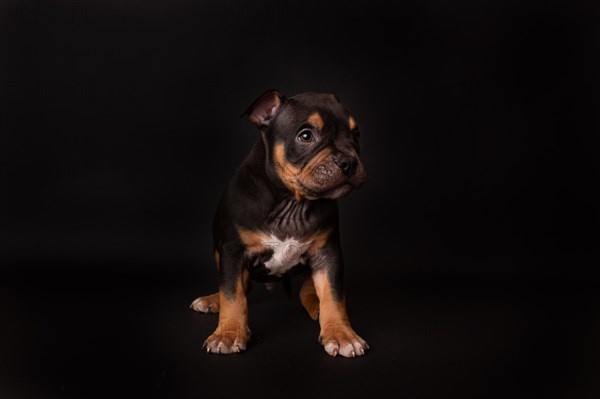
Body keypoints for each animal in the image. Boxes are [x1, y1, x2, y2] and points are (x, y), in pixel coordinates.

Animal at [192, 90, 368, 360]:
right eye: (305, 136)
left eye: (355, 134)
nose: (349, 162)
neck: (291, 202)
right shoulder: (232, 251)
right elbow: (232, 294)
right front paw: (229, 333)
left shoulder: (328, 253)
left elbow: (333, 295)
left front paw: (341, 333)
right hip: (218, 252)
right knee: (242, 286)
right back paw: (213, 300)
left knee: (308, 290)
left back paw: (317, 305)